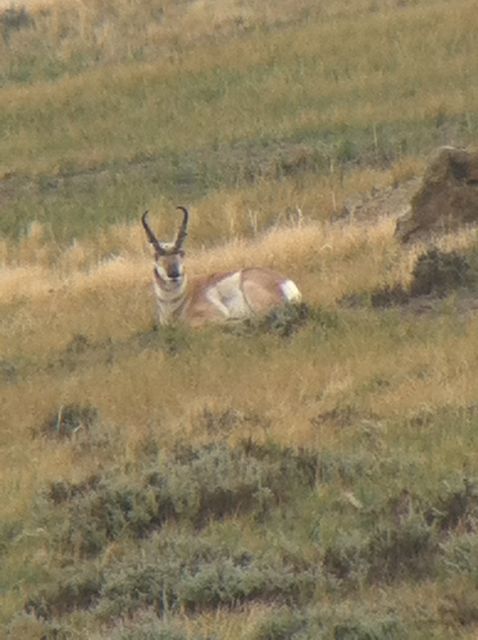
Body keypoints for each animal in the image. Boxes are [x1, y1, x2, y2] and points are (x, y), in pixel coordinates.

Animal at [140, 208, 302, 328]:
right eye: (156, 256)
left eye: (181, 252)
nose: (174, 273)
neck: (184, 297)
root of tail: (285, 282)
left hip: (250, 288)